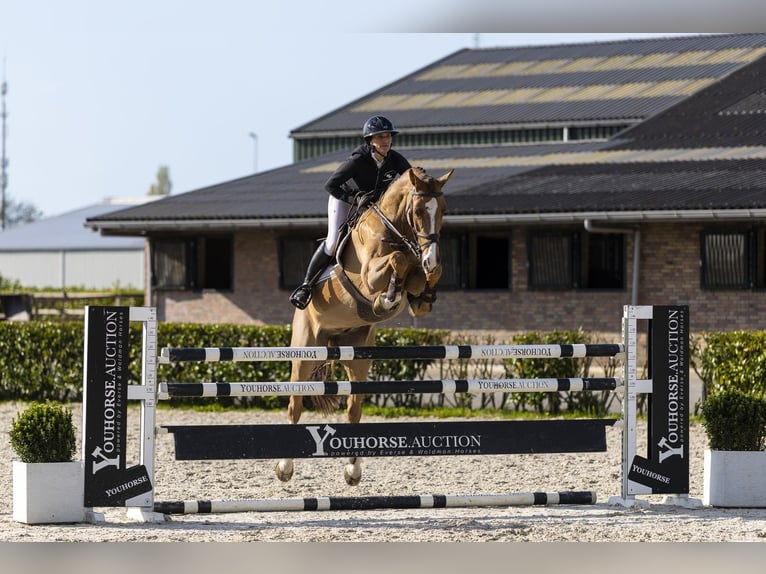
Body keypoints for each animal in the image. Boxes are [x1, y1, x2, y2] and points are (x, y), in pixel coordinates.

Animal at [276, 166, 454, 485]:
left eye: (443, 210)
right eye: (419, 210)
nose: (430, 258)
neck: (394, 231)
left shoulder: (417, 268)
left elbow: (419, 272)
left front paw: (422, 294)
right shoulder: (370, 275)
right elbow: (397, 260)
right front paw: (386, 298)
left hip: (358, 358)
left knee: (353, 410)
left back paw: (353, 469)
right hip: (305, 352)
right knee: (295, 405)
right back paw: (285, 467)